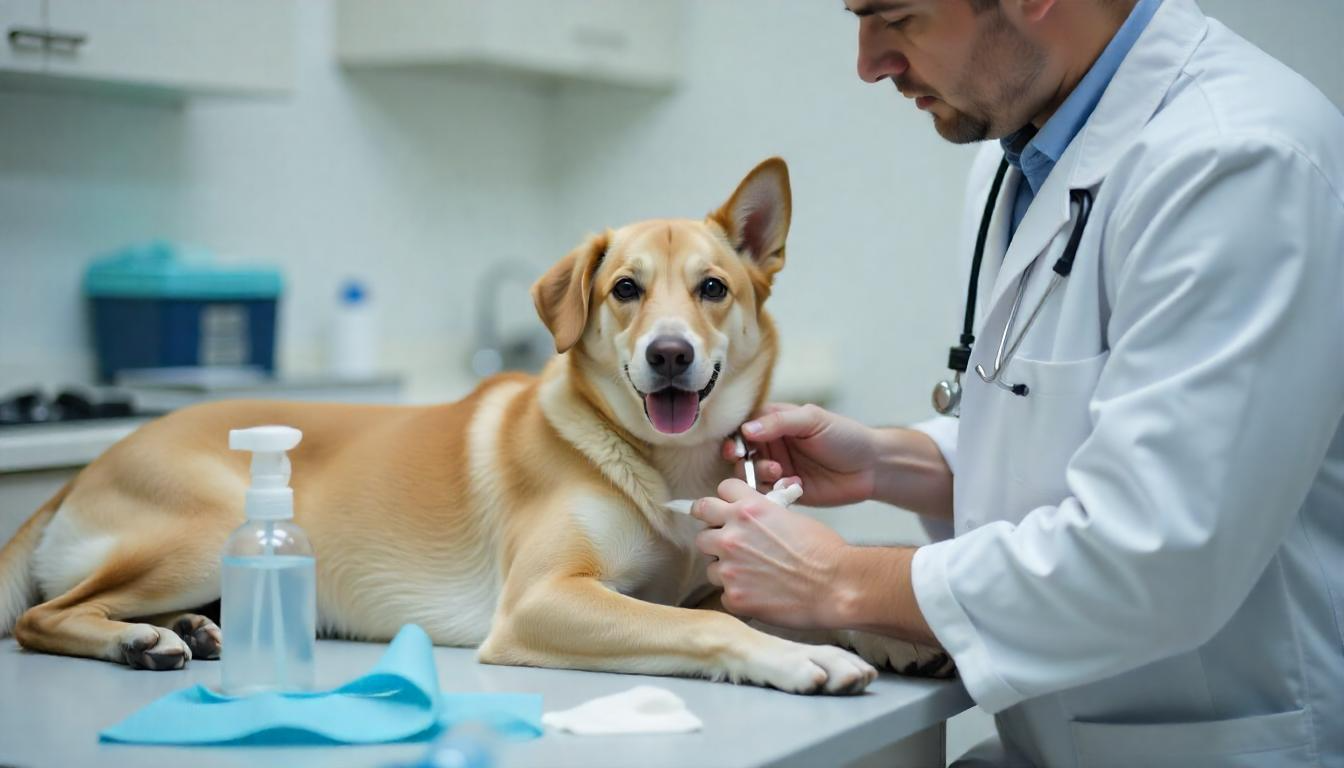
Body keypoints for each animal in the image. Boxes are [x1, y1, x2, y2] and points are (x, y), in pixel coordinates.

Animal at [0, 159, 946, 694]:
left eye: (712, 288)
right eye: (626, 290)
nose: (671, 355)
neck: (661, 467)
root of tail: (87, 467)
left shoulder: (710, 580)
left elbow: (782, 608)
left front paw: (883, 633)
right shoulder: (542, 601)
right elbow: (714, 628)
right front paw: (805, 659)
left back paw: (193, 631)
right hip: (204, 528)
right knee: (40, 617)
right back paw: (144, 641)